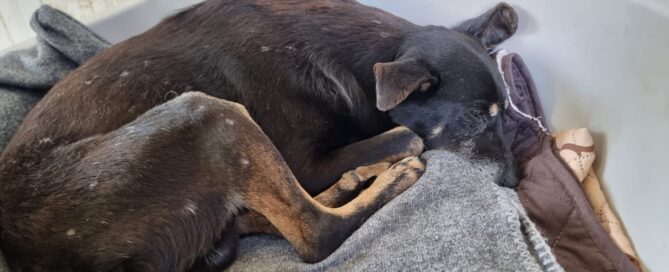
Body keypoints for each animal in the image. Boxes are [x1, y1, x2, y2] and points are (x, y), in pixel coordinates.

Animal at [0, 1, 516, 270]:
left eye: (508, 110)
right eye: (476, 120)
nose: (515, 180)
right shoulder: (304, 160)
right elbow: (409, 135)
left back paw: (351, 183)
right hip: (210, 115)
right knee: (313, 234)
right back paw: (383, 180)